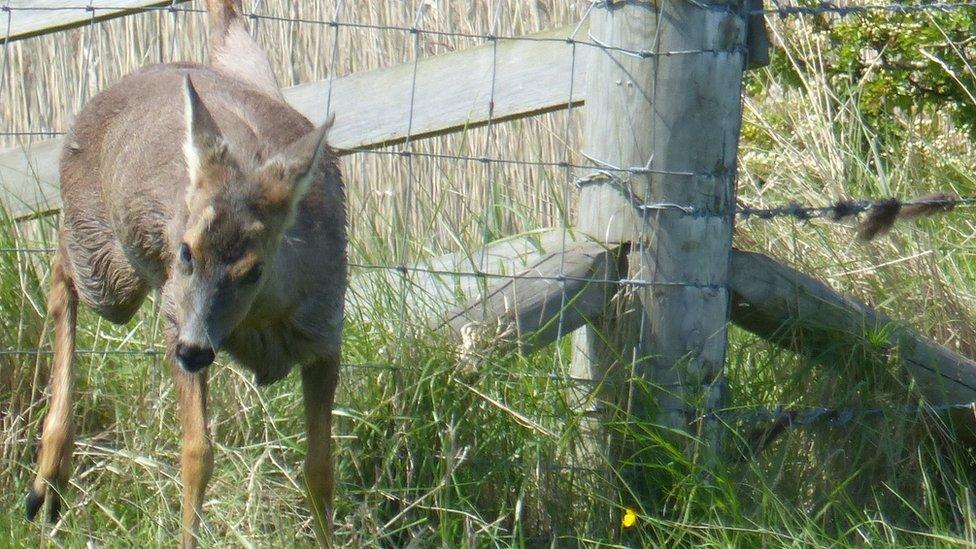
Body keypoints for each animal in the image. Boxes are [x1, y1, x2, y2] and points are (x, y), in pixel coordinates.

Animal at [22, 2, 346, 544]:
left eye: (254, 268)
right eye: (185, 252)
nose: (194, 351)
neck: (261, 322)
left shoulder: (326, 334)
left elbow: (320, 470)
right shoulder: (176, 313)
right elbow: (197, 454)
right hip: (109, 268)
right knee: (61, 266)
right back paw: (45, 481)